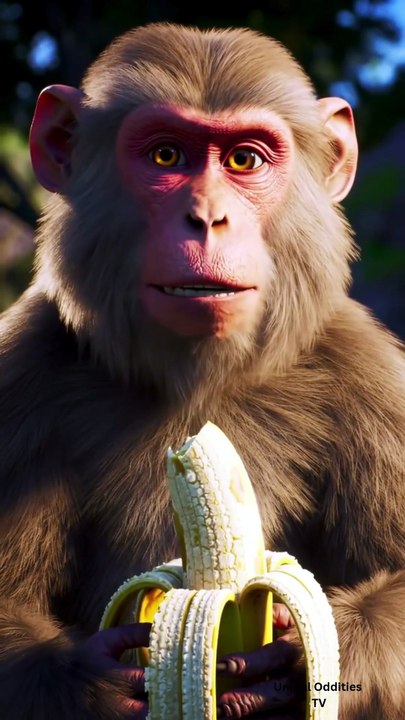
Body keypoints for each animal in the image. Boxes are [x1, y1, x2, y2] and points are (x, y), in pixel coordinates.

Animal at [0, 20, 404, 720]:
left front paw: (289, 663)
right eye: (166, 157)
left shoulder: (370, 379)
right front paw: (98, 684)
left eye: (244, 160)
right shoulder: (20, 374)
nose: (209, 216)